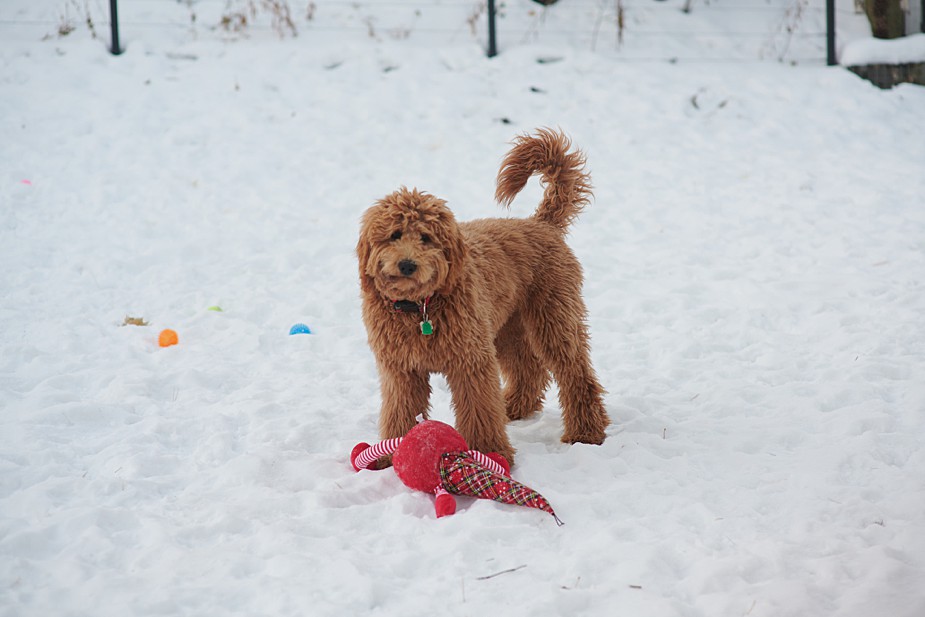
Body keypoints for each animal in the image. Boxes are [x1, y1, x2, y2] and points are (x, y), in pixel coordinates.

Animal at [358, 127, 608, 462]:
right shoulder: (402, 370)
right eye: (394, 235)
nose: (408, 264)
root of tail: (541, 224)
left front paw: (490, 453)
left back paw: (585, 432)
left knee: (576, 375)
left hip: (553, 317)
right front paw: (391, 454)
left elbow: (479, 409)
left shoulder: (471, 361)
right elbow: (400, 411)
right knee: (529, 368)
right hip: (506, 326)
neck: (421, 308)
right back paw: (514, 406)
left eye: (425, 238)